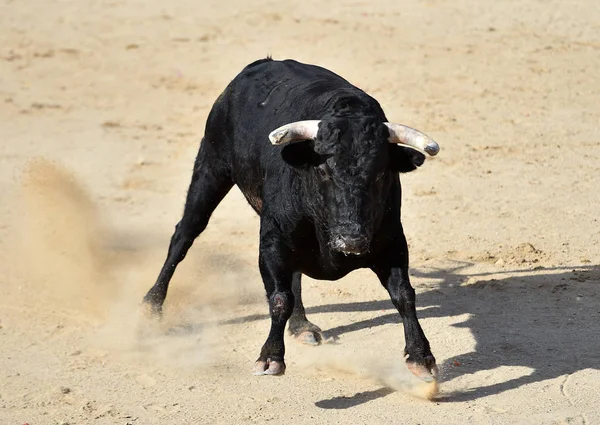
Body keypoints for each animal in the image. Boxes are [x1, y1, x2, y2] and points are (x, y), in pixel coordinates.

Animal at [142, 58, 438, 380]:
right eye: (322, 170)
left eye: (382, 174)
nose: (351, 240)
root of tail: (262, 63)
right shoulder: (273, 243)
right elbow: (279, 298)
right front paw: (270, 357)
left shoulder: (392, 242)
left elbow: (403, 294)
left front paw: (421, 357)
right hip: (211, 164)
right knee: (184, 234)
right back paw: (151, 306)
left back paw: (301, 326)